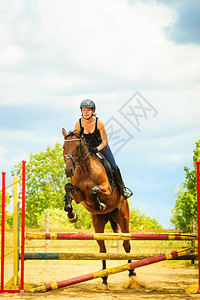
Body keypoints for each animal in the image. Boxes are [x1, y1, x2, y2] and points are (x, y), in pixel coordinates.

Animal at [61, 129, 135, 286]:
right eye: (64, 147)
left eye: (78, 147)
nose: (69, 170)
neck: (85, 169)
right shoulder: (80, 196)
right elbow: (68, 187)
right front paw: (71, 214)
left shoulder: (106, 189)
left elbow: (95, 189)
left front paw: (99, 204)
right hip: (98, 223)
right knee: (102, 249)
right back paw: (104, 278)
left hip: (123, 218)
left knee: (126, 245)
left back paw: (132, 273)